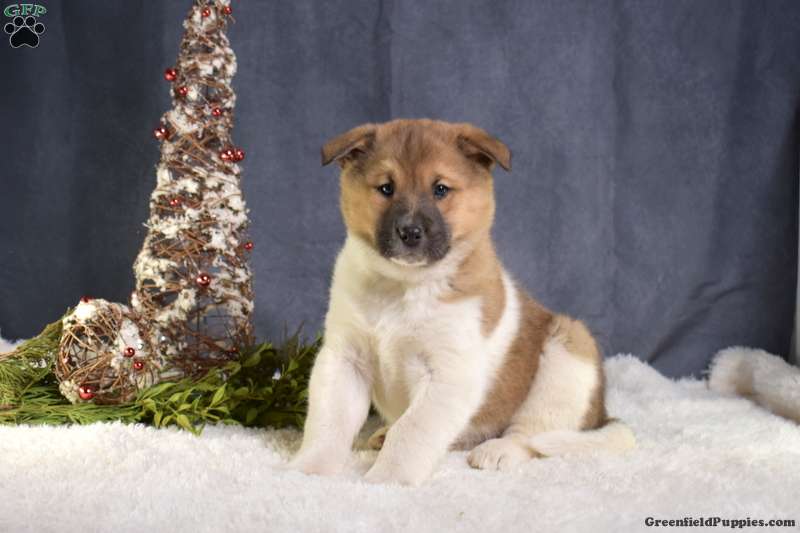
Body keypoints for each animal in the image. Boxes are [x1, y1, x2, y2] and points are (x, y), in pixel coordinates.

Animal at [289, 119, 635, 486]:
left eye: (441, 189)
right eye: (386, 188)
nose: (409, 232)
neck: (404, 287)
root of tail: (603, 415)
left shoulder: (448, 374)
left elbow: (411, 431)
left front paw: (387, 479)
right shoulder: (345, 360)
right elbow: (328, 423)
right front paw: (308, 470)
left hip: (568, 353)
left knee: (531, 434)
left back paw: (498, 450)